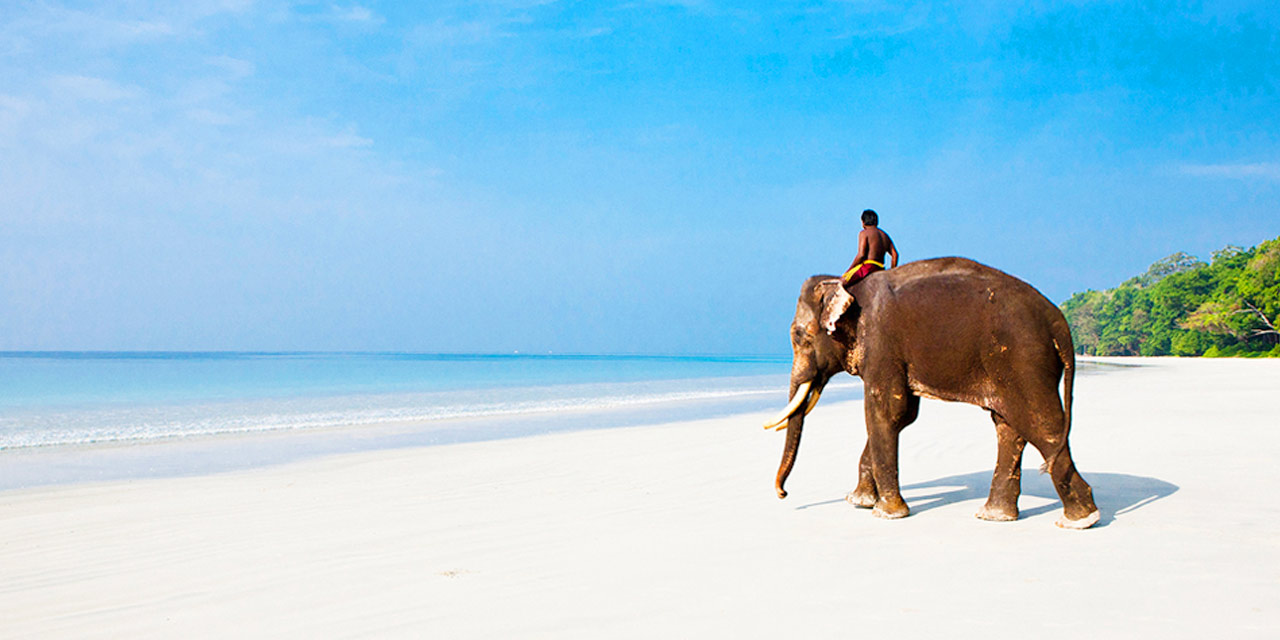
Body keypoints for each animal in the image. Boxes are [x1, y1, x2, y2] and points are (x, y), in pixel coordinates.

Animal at [757, 256, 1100, 529]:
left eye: (798, 336)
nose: (782, 493)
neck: (848, 284)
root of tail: (1059, 322)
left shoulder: (881, 342)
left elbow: (884, 412)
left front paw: (886, 513)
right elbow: (903, 416)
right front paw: (859, 501)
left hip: (1023, 359)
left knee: (1043, 426)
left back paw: (1080, 520)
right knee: (1009, 426)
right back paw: (995, 516)